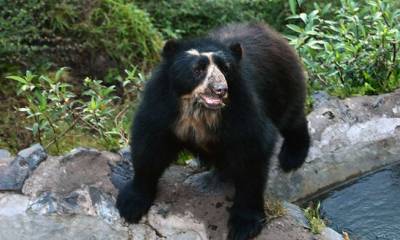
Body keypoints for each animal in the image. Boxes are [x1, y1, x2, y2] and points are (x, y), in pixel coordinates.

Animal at [115, 23, 310, 240]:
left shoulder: (243, 107)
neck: (200, 111)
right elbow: (150, 146)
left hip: (282, 83)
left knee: (292, 118)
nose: (220, 89)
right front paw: (130, 204)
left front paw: (245, 225)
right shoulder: (162, 105)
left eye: (225, 68)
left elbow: (252, 153)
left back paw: (292, 157)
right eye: (198, 70)